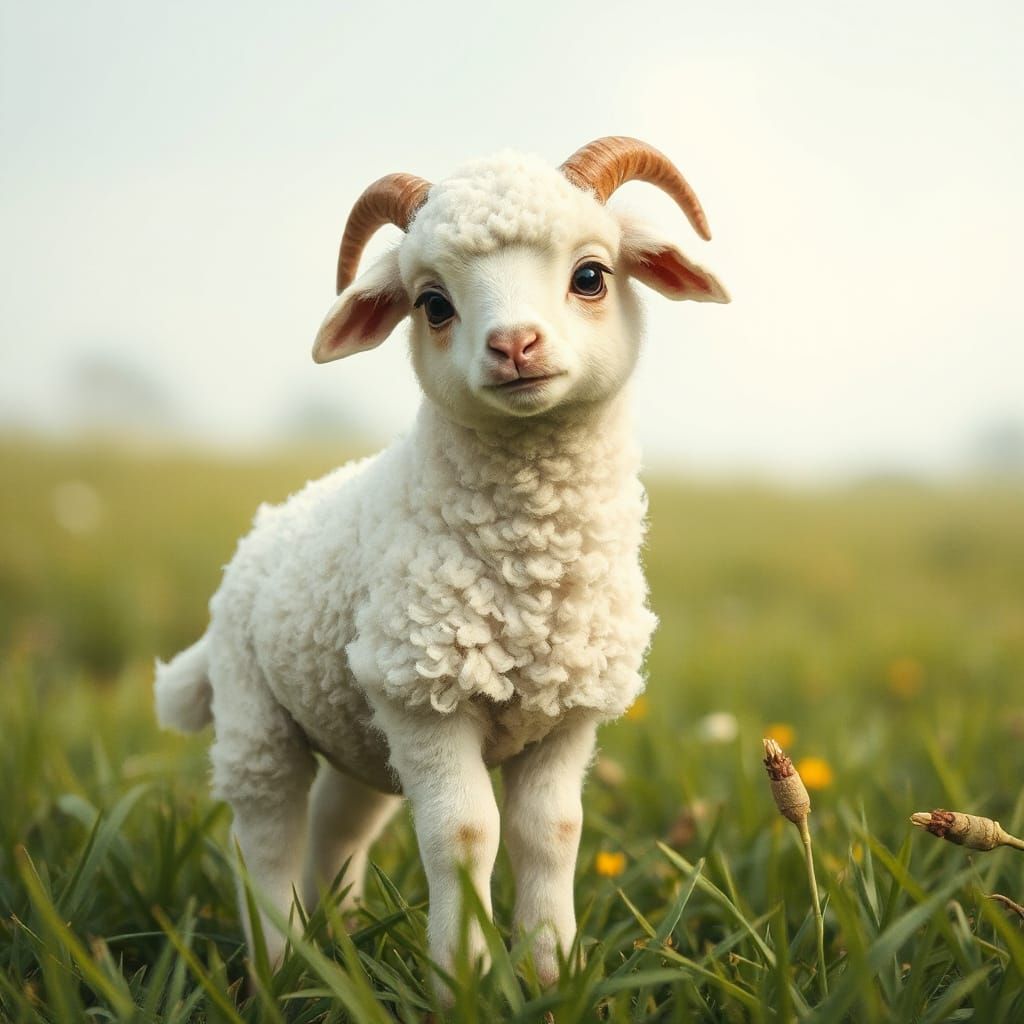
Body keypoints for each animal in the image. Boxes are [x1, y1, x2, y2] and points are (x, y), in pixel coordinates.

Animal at [154, 136, 729, 991]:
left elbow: (551, 830)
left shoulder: (572, 707)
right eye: (433, 304)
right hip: (256, 708)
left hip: (356, 729)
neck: (530, 573)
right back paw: (279, 964)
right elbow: (462, 835)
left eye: (591, 276)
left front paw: (550, 970)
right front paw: (464, 977)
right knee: (268, 829)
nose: (515, 346)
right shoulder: (423, 694)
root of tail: (263, 527)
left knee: (339, 822)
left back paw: (337, 934)